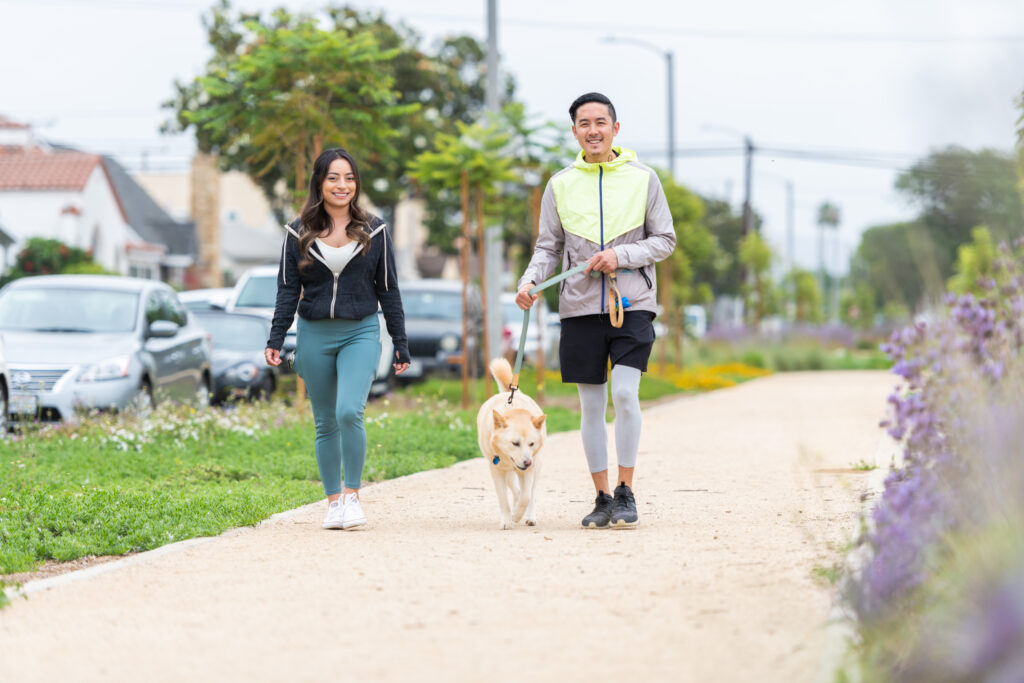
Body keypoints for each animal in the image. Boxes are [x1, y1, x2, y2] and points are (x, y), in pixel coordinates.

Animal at [475, 360, 548, 532]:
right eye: (515, 443)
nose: (527, 462)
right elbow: (504, 499)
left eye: (531, 443)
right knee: (516, 491)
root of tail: (513, 392)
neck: (514, 411)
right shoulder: (496, 471)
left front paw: (517, 516)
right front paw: (507, 520)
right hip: (508, 473)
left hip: (537, 467)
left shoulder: (529, 471)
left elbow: (526, 497)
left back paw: (529, 517)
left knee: (531, 494)